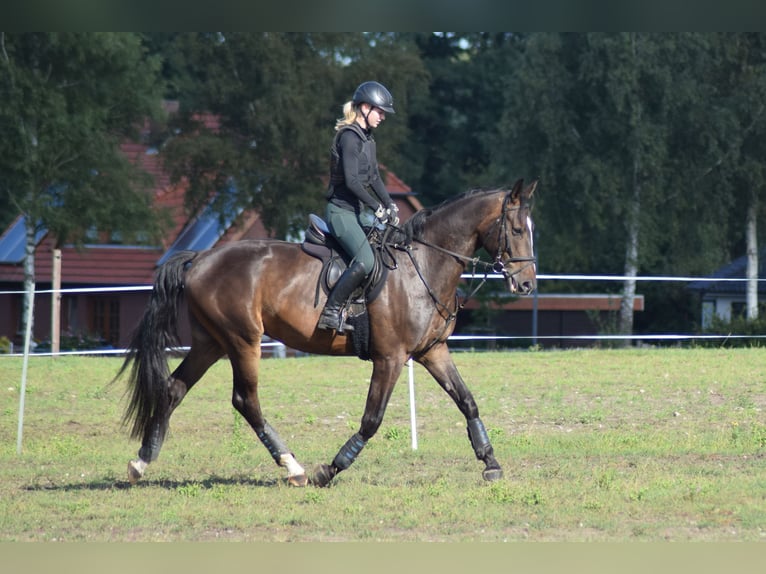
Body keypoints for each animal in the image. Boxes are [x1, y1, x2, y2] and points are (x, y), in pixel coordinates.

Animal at [118, 178, 540, 488]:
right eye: (518, 229)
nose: (526, 285)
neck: (423, 263)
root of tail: (200, 258)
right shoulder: (390, 358)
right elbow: (372, 419)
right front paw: (331, 468)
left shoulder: (432, 351)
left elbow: (468, 402)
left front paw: (490, 462)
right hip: (242, 341)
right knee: (245, 401)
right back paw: (295, 468)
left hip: (211, 342)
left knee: (174, 389)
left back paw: (141, 462)